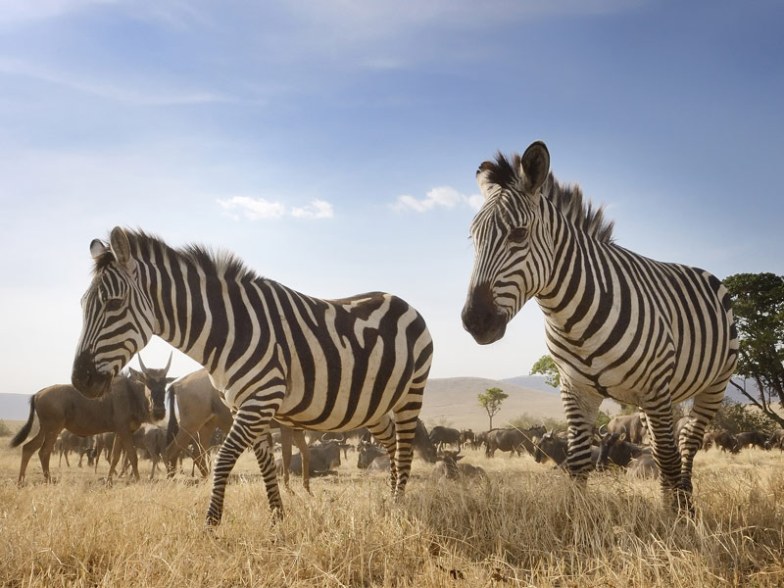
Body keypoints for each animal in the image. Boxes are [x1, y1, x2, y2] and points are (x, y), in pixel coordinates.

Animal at [70, 227, 432, 524]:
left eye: (114, 304)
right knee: (390, 441)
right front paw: (278, 521)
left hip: (411, 394)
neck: (231, 331)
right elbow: (266, 465)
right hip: (373, 404)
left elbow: (224, 460)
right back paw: (391, 498)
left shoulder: (260, 402)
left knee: (404, 449)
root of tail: (402, 301)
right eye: (83, 304)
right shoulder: (246, 407)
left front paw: (211, 527)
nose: (79, 381)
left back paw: (398, 507)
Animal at [460, 140, 736, 512]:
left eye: (519, 234)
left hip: (712, 385)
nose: (475, 321)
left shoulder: (655, 386)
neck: (571, 317)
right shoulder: (576, 389)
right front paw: (578, 518)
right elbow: (578, 462)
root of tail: (703, 271)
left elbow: (666, 458)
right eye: (472, 238)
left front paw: (674, 518)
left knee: (686, 443)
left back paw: (686, 504)